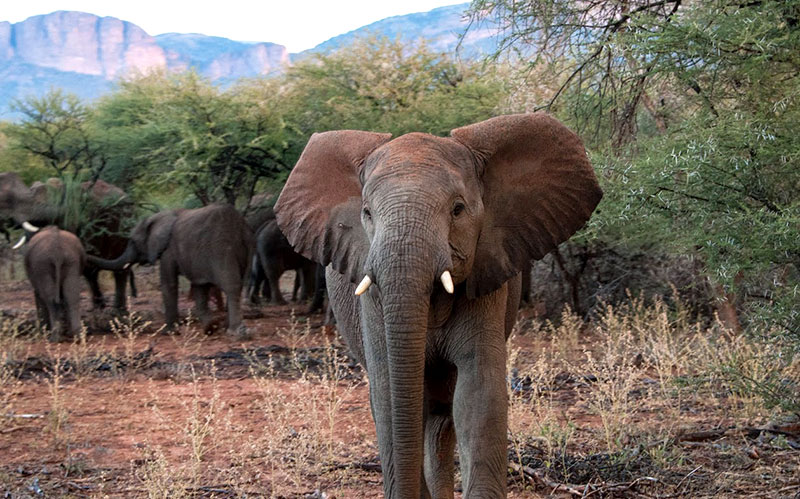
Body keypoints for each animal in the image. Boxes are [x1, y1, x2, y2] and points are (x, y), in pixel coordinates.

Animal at [276, 114, 600, 499]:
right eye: (366, 213)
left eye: (457, 209)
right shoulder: (371, 295)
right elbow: (390, 398)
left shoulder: (486, 274)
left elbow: (478, 396)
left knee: (442, 420)